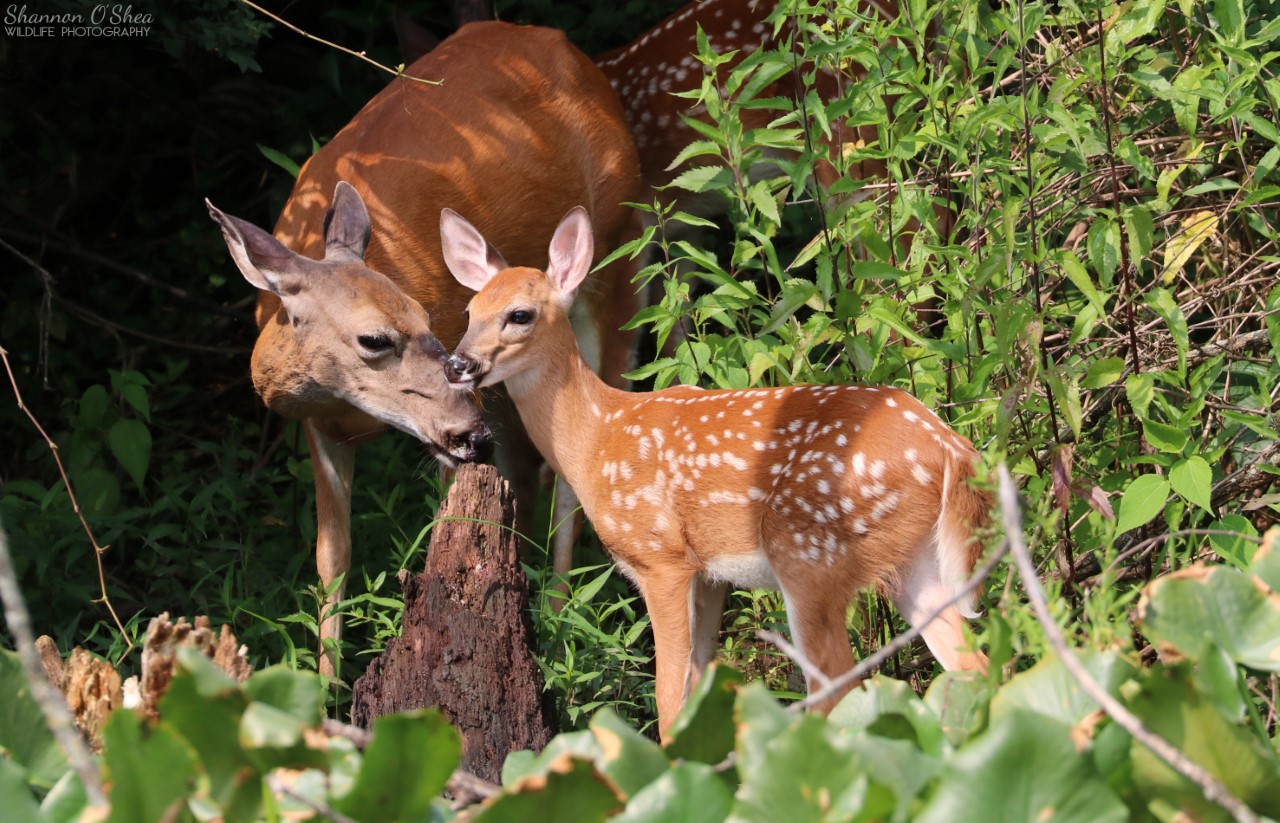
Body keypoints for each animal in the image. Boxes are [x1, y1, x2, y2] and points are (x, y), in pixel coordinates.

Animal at [209, 20, 645, 676]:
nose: (469, 431)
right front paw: (325, 685)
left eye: (425, 316)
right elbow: (331, 555)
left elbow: (450, 525)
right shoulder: (322, 424)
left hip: (618, 250)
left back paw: (559, 622)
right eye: (373, 338)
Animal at [439, 205, 990, 740]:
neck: (597, 437)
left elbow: (667, 697)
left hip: (809, 552)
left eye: (520, 314)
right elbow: (700, 689)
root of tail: (951, 450)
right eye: (469, 312)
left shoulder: (661, 557)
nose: (457, 364)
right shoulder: (710, 574)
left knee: (837, 685)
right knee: (973, 667)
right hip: (911, 560)